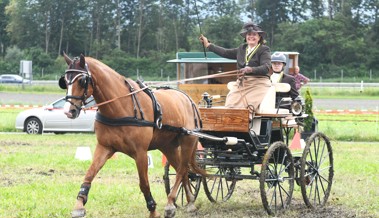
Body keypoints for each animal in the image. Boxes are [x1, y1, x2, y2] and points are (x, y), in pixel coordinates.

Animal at [60, 53, 206, 218]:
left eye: (82, 80)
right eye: (64, 81)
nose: (69, 111)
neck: (120, 107)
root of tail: (188, 100)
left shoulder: (140, 153)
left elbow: (144, 184)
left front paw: (153, 210)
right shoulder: (104, 147)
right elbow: (89, 174)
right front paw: (79, 205)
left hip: (188, 141)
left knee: (182, 170)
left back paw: (170, 204)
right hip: (168, 146)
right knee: (183, 170)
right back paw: (190, 202)